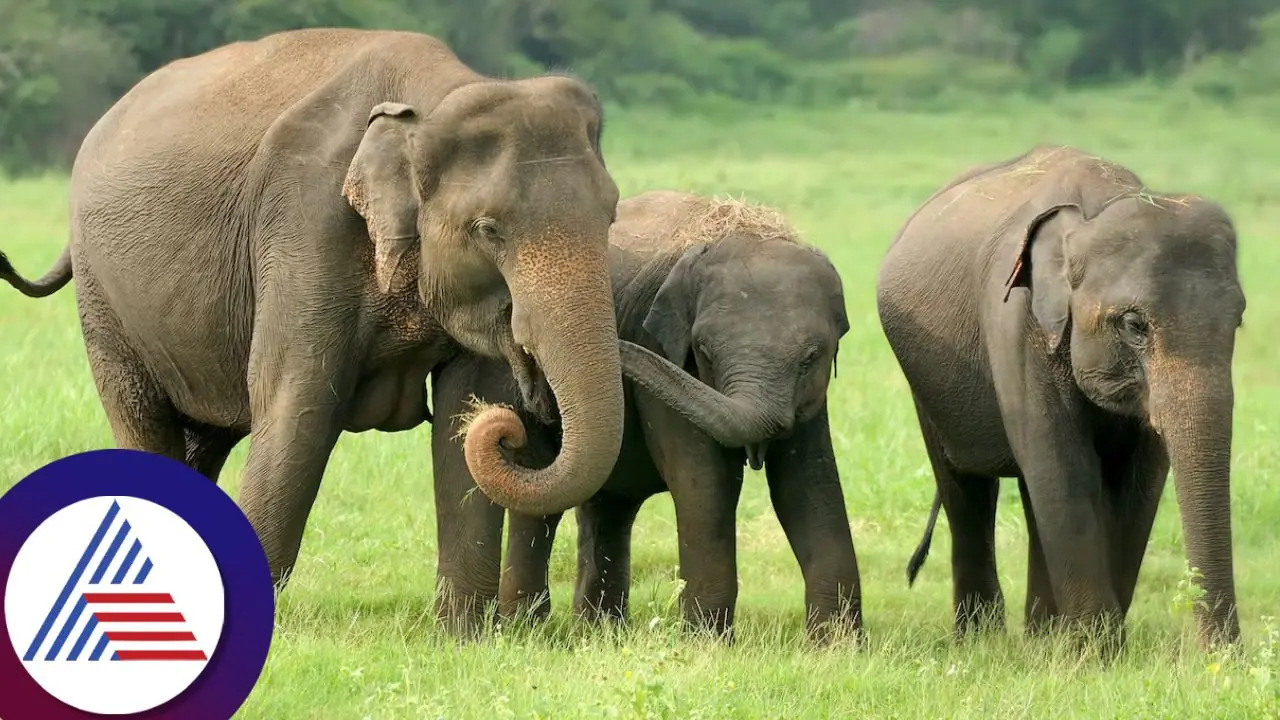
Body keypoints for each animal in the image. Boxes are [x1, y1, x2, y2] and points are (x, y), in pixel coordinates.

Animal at [0, 28, 628, 632]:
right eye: (489, 229)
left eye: (611, 216)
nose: (525, 423)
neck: (436, 94)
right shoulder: (305, 223)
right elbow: (298, 408)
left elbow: (464, 407)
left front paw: (464, 639)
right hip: (102, 299)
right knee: (144, 417)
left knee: (205, 439)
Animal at [436, 189, 861, 642]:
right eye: (704, 351)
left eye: (812, 357)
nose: (525, 343)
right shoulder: (665, 359)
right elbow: (706, 484)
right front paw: (707, 645)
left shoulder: (813, 400)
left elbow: (806, 485)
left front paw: (837, 647)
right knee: (542, 499)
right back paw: (529, 630)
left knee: (608, 505)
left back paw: (600, 632)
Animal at [875, 145, 1245, 652]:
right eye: (1134, 325)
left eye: (1238, 321)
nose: (1225, 659)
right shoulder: (1016, 325)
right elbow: (1064, 469)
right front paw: (1095, 653)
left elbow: (1137, 483)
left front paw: (1092, 646)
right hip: (927, 385)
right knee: (966, 486)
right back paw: (983, 642)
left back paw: (1040, 638)